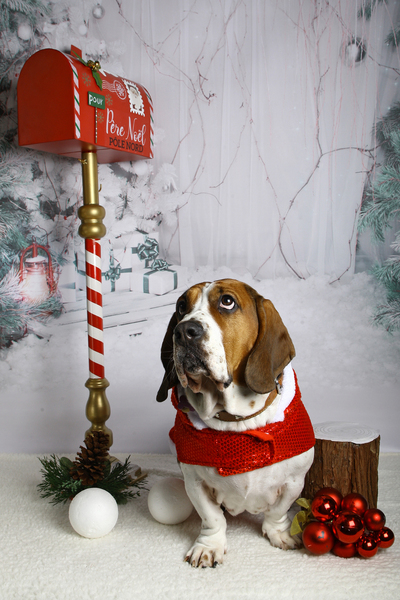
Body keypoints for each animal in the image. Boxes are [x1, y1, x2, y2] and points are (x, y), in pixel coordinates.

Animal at [157, 279, 315, 568]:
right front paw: (209, 546)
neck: (236, 419)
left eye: (227, 301)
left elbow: (278, 511)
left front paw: (279, 533)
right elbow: (212, 518)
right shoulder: (194, 482)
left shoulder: (295, 480)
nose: (183, 331)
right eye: (181, 305)